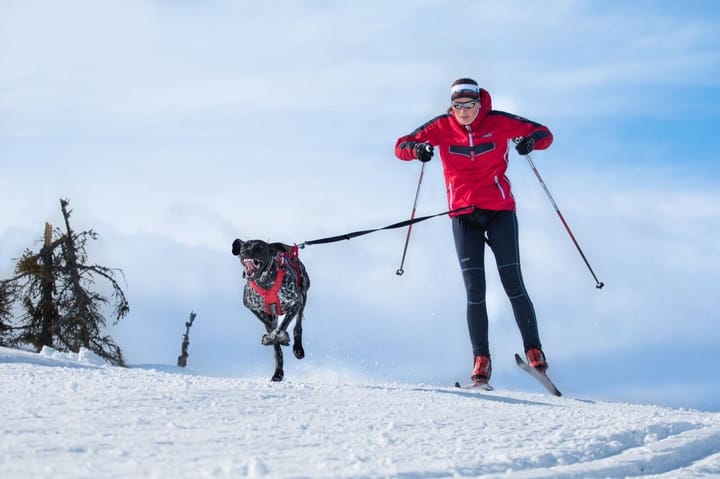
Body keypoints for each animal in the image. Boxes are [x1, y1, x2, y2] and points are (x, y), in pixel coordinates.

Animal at [231, 240, 310, 382]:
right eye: (244, 247)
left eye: (259, 247)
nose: (244, 252)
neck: (265, 282)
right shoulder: (253, 307)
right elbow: (272, 332)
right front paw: (271, 339)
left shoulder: (296, 302)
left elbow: (279, 331)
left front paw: (278, 337)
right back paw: (278, 372)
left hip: (303, 297)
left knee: (298, 326)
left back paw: (298, 349)